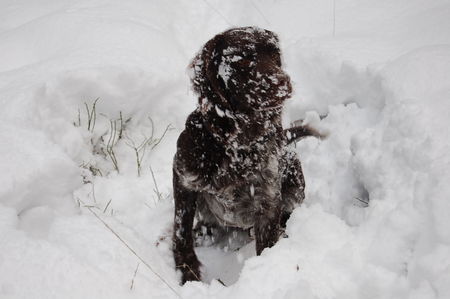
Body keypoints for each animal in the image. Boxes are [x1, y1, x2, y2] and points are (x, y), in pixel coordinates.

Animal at [171, 27, 320, 284]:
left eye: (275, 54)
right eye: (241, 59)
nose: (284, 82)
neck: (238, 145)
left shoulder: (268, 201)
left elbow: (268, 242)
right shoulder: (183, 176)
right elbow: (181, 229)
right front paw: (188, 271)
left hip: (295, 187)